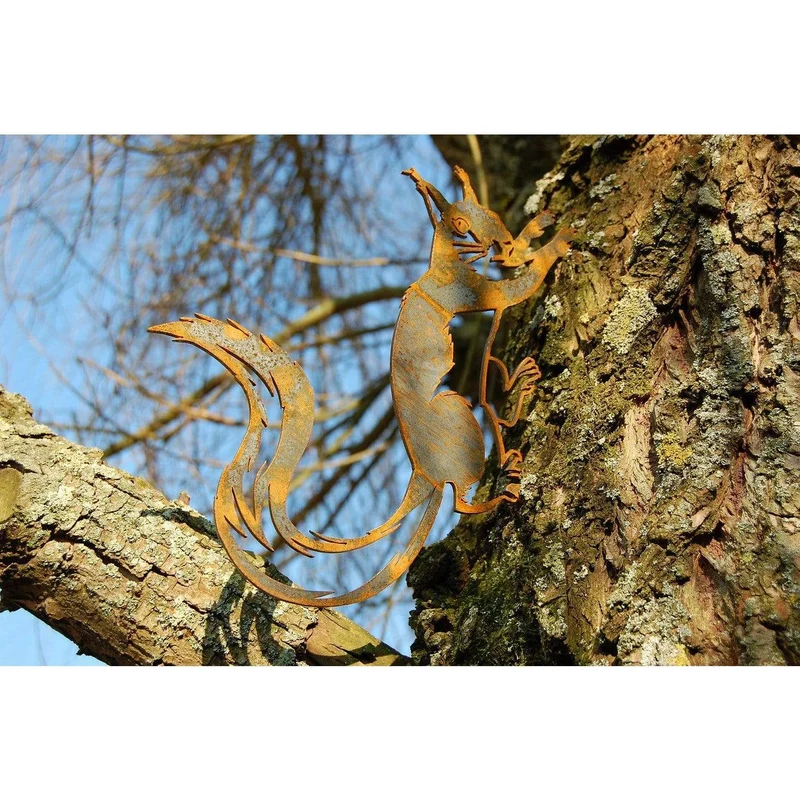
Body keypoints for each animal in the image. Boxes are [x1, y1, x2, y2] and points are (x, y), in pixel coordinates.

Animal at [149, 165, 575, 607]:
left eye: (490, 214)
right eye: (459, 223)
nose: (498, 244)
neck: (447, 261)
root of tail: (424, 477)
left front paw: (538, 227)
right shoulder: (476, 292)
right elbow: (521, 284)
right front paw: (559, 242)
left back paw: (520, 396)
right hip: (454, 411)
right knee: (461, 497)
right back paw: (507, 475)